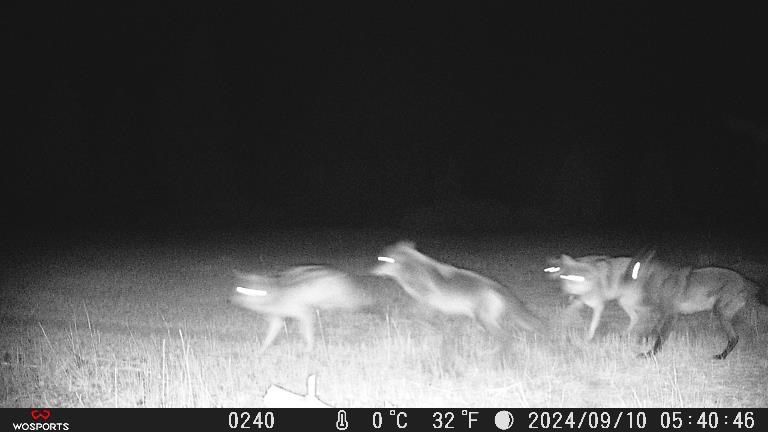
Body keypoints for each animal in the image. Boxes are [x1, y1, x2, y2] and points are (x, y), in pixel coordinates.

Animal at [230, 265, 374, 353]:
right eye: (238, 289)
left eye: (245, 291)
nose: (231, 300)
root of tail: (342, 274)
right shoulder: (278, 318)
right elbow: (270, 335)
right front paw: (261, 349)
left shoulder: (303, 312)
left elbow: (307, 332)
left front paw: (309, 348)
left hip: (342, 300)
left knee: (357, 305)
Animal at [372, 241, 546, 340]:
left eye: (382, 260)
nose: (370, 271)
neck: (410, 270)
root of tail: (499, 287)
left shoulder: (425, 302)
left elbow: (416, 315)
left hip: (484, 318)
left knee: (505, 337)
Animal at [629, 250, 768, 359]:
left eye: (635, 270)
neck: (662, 280)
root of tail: (744, 279)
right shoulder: (663, 314)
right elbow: (653, 331)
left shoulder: (671, 315)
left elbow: (660, 338)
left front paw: (650, 354)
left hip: (720, 312)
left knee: (734, 338)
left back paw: (721, 356)